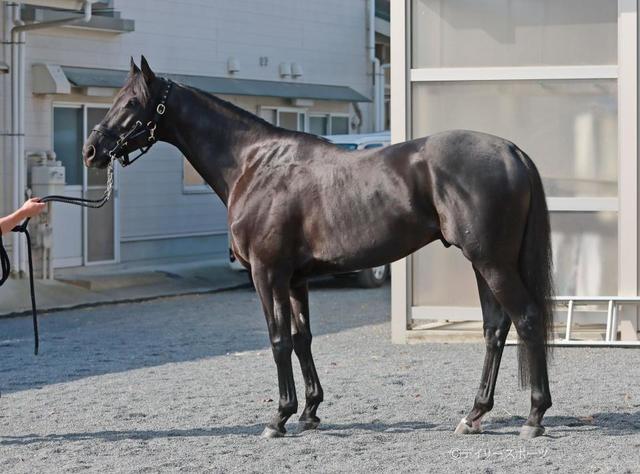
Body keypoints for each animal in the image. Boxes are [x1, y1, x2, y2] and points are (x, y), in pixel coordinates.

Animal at [83, 56, 553, 439]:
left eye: (131, 102)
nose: (91, 150)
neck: (255, 164)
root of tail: (511, 150)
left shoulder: (266, 274)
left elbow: (278, 341)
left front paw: (279, 417)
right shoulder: (294, 280)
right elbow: (302, 337)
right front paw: (309, 411)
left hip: (491, 262)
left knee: (527, 319)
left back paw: (534, 417)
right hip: (483, 263)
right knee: (495, 328)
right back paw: (474, 415)